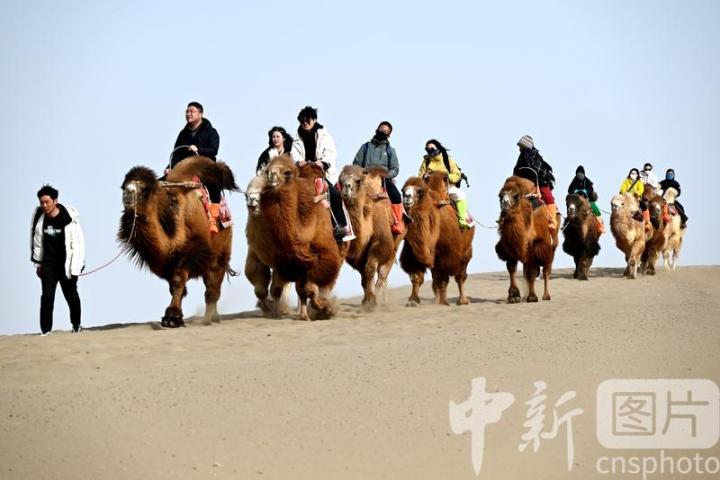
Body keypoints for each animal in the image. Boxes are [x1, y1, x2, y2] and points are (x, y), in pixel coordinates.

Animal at [119, 156, 238, 327]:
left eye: (145, 189)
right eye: (123, 186)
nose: (128, 192)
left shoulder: (193, 249)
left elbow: (178, 280)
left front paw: (172, 317)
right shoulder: (168, 262)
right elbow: (174, 286)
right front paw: (175, 317)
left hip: (221, 254)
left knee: (213, 287)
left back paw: (208, 319)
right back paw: (215, 317)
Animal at [244, 175, 291, 315]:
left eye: (264, 190)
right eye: (246, 193)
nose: (251, 199)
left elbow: (276, 289)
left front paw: (276, 311)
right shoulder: (255, 255)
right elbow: (259, 290)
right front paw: (266, 308)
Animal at [260, 154, 344, 320]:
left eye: (287, 172)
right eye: (268, 167)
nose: (271, 174)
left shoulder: (322, 257)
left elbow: (310, 289)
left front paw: (324, 309)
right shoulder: (290, 261)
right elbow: (291, 289)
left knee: (326, 284)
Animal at [338, 165, 404, 310]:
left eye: (358, 181)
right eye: (340, 180)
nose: (346, 188)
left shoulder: (381, 243)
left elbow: (369, 270)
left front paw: (372, 303)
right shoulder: (357, 254)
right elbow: (364, 276)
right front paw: (366, 301)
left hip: (396, 241)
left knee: (384, 272)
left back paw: (381, 301)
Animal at [400, 171, 474, 306]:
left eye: (420, 191)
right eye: (403, 190)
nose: (407, 197)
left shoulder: (446, 255)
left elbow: (444, 279)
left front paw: (444, 302)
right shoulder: (413, 253)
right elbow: (416, 277)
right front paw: (413, 301)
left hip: (466, 251)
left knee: (460, 276)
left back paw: (462, 301)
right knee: (436, 279)